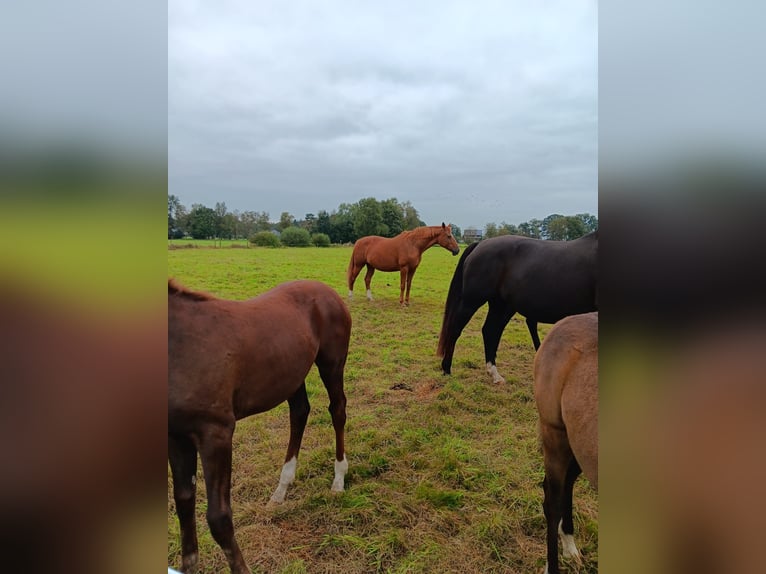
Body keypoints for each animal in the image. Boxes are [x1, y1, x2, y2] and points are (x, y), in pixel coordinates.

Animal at [170, 280, 352, 574]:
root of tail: (329, 291)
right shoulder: (176, 437)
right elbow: (184, 503)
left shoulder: (216, 433)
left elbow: (219, 517)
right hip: (292, 372)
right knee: (299, 412)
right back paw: (281, 489)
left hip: (332, 364)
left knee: (337, 410)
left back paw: (338, 479)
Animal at [438, 232, 600, 384]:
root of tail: (480, 244)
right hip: (472, 301)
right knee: (455, 329)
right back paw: (446, 368)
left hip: (501, 305)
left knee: (490, 331)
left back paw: (494, 374)